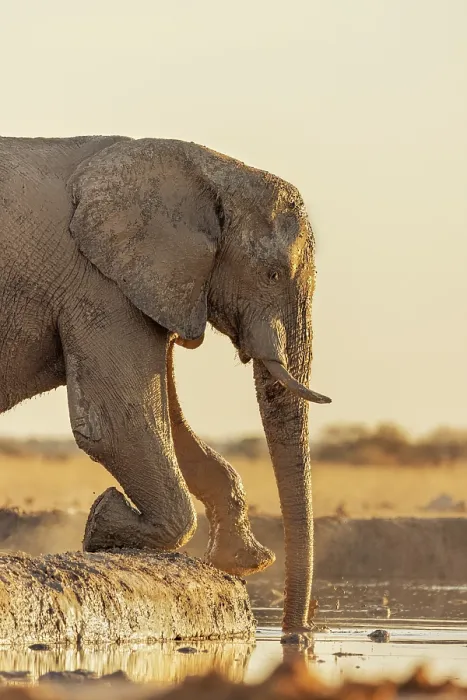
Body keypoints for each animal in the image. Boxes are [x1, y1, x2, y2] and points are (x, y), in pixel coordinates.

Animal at [0, 135, 331, 637]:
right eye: (272, 274)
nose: (294, 636)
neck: (208, 169)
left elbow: (169, 423)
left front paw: (241, 560)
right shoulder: (101, 287)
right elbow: (118, 426)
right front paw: (102, 524)